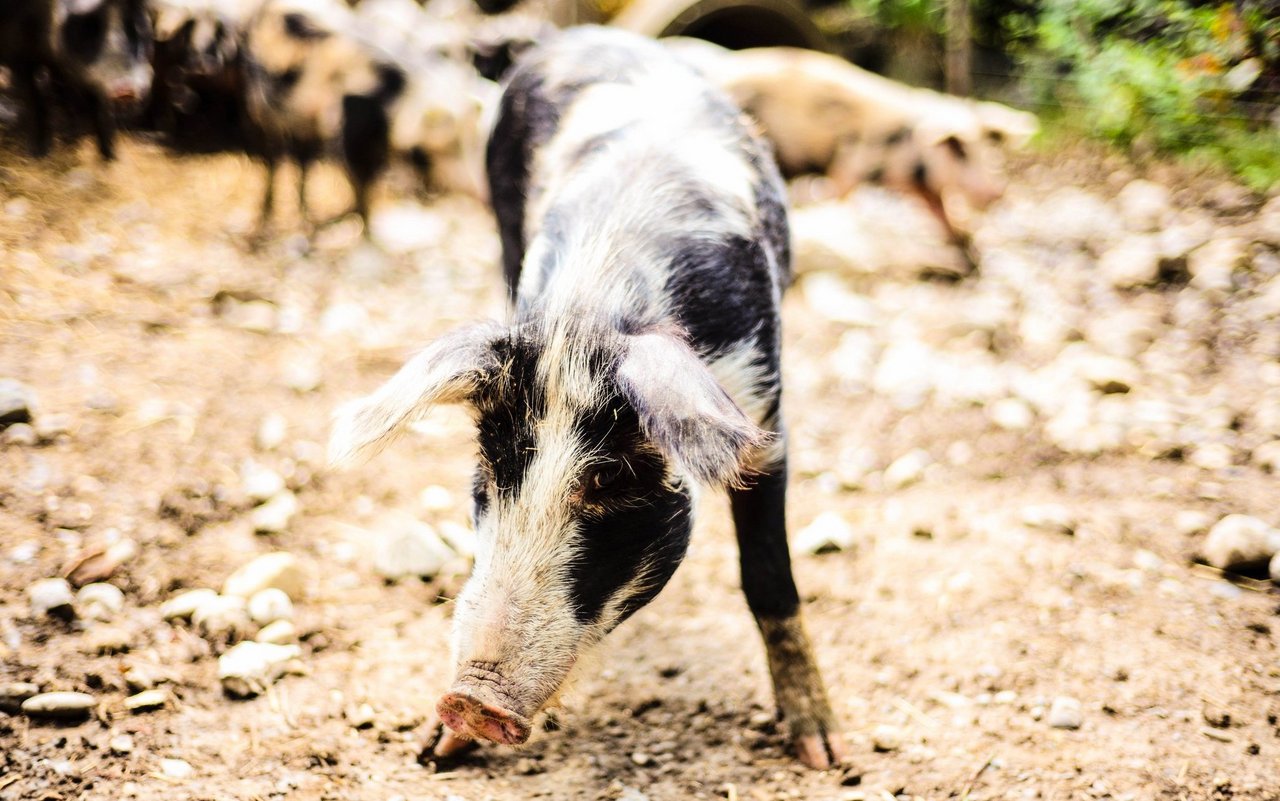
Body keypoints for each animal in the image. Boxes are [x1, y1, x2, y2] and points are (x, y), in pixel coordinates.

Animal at [0, 0, 153, 159]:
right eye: (89, 25)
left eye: (134, 24)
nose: (126, 92)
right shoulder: (18, 55)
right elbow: (34, 99)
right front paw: (37, 155)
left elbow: (99, 108)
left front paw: (110, 158)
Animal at [241, 0, 491, 234]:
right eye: (451, 146)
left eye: (473, 141)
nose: (483, 194)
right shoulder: (351, 129)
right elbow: (360, 179)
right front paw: (366, 226)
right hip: (261, 103)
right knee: (275, 155)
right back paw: (269, 217)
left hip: (303, 120)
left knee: (303, 159)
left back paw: (304, 214)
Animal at [330, 26, 849, 767]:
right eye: (490, 472)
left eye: (607, 481)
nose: (469, 697)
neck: (595, 310)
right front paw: (433, 750)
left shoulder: (764, 402)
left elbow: (768, 575)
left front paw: (824, 751)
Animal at [665, 39, 1034, 268]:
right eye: (960, 153)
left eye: (988, 152)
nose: (997, 192)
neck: (907, 156)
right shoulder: (852, 160)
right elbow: (843, 191)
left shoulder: (917, 186)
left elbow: (941, 213)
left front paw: (969, 249)